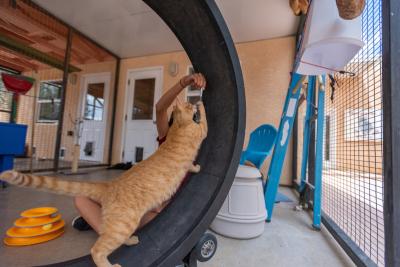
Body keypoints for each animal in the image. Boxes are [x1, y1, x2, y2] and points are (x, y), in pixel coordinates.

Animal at [2, 101, 209, 267]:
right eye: (188, 105)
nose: (192, 103)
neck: (178, 127)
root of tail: (109, 185)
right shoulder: (200, 131)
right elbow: (205, 120)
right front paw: (200, 102)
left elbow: (191, 165)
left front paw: (196, 167)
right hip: (122, 225)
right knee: (97, 249)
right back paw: (112, 264)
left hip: (119, 225)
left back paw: (131, 241)